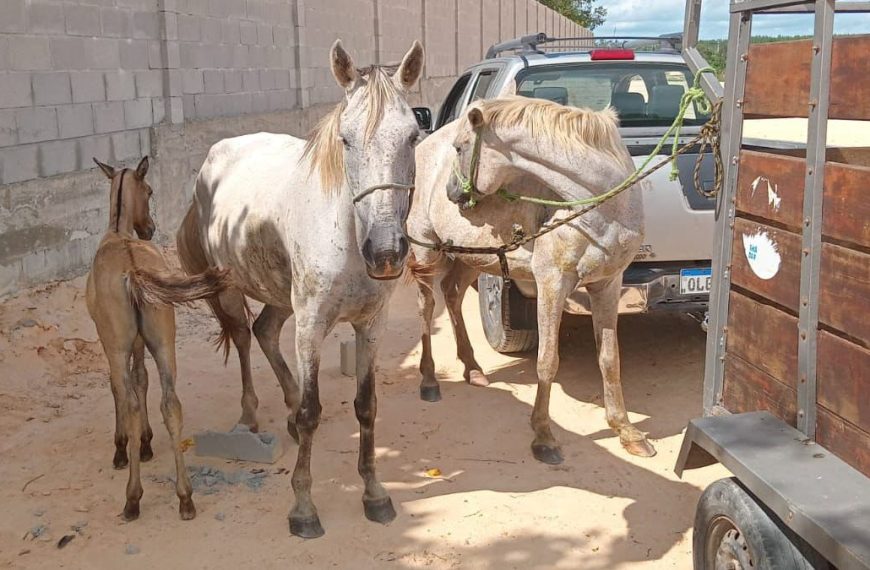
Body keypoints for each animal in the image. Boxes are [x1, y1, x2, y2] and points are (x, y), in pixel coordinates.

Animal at [85, 155, 232, 520]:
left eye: (149, 190)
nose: (149, 229)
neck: (117, 233)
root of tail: (134, 272)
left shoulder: (113, 345)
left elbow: (122, 390)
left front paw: (124, 448)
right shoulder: (141, 345)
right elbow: (142, 379)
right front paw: (147, 443)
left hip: (118, 346)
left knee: (131, 403)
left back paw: (133, 497)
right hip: (165, 344)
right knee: (171, 404)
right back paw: (185, 497)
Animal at [178, 41, 426, 536]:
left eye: (412, 136)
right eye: (345, 140)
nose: (386, 250)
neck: (347, 234)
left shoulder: (371, 325)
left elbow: (367, 405)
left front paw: (375, 493)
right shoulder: (311, 325)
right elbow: (314, 411)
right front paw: (303, 507)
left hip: (280, 294)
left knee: (265, 332)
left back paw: (287, 412)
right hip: (232, 288)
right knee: (243, 338)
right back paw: (251, 415)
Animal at [408, 96, 656, 462]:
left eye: (460, 146)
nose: (453, 193)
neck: (603, 206)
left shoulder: (608, 284)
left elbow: (610, 359)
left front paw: (626, 430)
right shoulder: (552, 284)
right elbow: (547, 361)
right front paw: (543, 436)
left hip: (475, 257)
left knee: (451, 295)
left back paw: (473, 368)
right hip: (427, 251)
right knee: (426, 308)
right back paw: (428, 380)